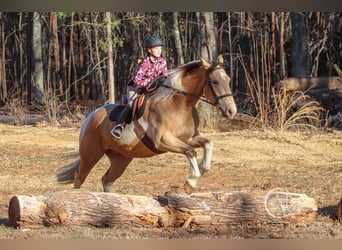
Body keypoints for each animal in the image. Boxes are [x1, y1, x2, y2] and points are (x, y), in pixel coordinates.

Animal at [56, 55, 238, 193]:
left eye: (228, 79)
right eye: (215, 81)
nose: (231, 111)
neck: (180, 104)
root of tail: (92, 116)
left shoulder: (188, 138)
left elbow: (208, 144)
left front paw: (201, 169)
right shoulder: (164, 140)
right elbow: (191, 152)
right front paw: (190, 182)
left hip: (121, 159)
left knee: (107, 179)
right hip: (91, 154)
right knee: (79, 177)